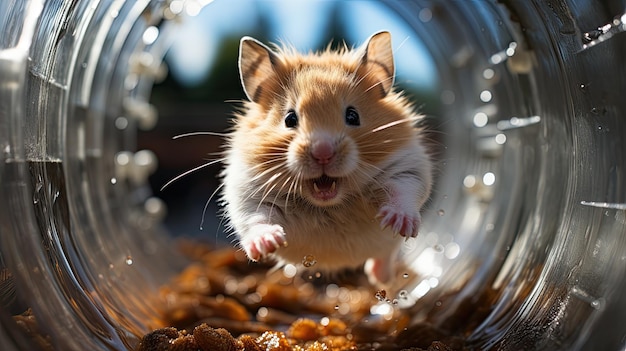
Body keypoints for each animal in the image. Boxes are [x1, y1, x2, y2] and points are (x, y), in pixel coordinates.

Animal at [222, 31, 432, 286]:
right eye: (290, 119)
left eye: (353, 116)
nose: (323, 153)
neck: (329, 203)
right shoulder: (247, 188)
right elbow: (256, 216)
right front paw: (267, 244)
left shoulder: (407, 166)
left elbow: (403, 191)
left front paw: (399, 222)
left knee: (385, 255)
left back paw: (381, 278)